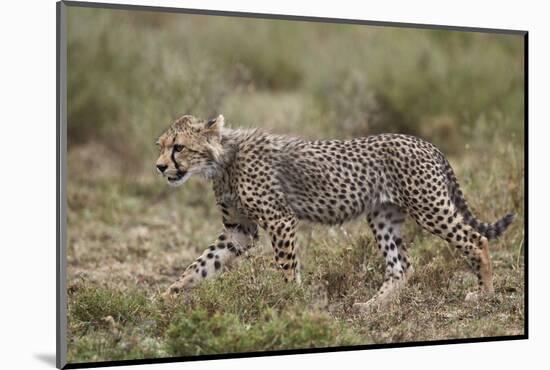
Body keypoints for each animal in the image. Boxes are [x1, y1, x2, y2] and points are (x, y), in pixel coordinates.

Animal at [156, 113, 516, 310]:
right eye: (160, 146)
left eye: (179, 147)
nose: (159, 167)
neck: (223, 159)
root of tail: (423, 142)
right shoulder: (239, 231)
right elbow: (200, 265)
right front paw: (167, 296)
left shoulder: (279, 219)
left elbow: (286, 268)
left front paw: (291, 304)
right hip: (382, 215)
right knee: (401, 266)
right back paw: (372, 307)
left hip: (429, 206)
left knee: (476, 239)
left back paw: (484, 293)